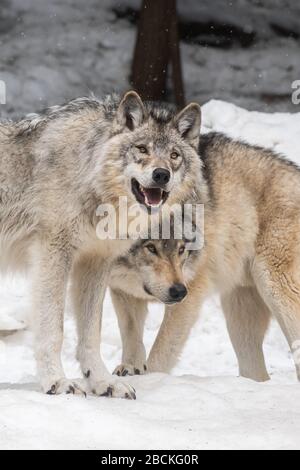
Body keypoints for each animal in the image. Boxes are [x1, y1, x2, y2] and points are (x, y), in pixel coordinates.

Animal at [0, 89, 204, 396]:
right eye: (141, 149)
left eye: (174, 155)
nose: (161, 174)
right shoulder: (53, 254)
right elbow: (53, 329)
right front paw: (56, 382)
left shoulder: (95, 263)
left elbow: (90, 334)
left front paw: (102, 382)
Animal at [110, 132, 300, 382]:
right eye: (151, 248)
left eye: (182, 249)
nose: (178, 291)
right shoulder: (122, 290)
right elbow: (132, 337)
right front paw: (130, 369)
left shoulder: (191, 295)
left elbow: (161, 352)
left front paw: (151, 379)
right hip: (239, 318)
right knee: (257, 372)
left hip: (274, 287)